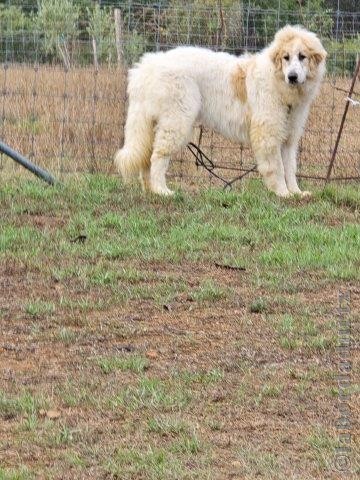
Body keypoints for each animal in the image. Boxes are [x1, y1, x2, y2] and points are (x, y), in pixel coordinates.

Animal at [115, 23, 326, 197]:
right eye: (286, 58)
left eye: (302, 57)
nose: (292, 76)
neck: (278, 82)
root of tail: (148, 65)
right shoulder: (268, 136)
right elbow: (278, 168)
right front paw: (283, 193)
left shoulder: (288, 139)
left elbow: (290, 168)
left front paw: (296, 192)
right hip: (176, 123)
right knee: (158, 156)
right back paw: (162, 191)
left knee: (147, 159)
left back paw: (151, 189)